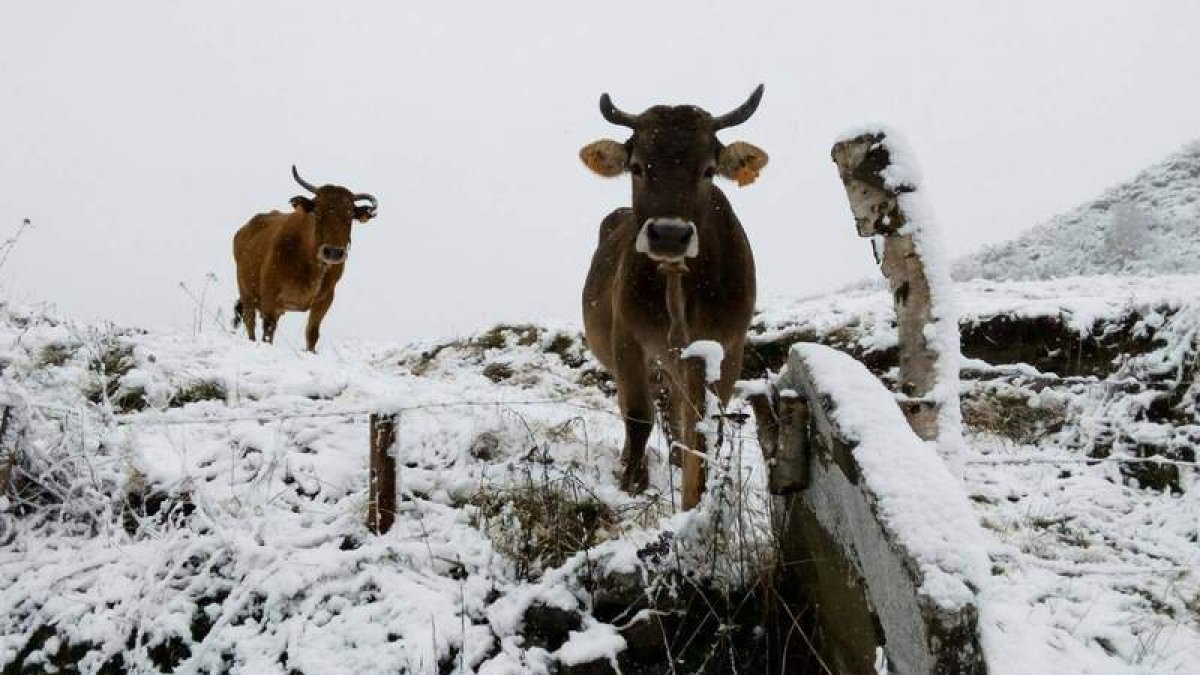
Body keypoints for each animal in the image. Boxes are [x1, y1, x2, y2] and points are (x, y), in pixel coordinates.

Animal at [232, 166, 378, 352]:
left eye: (350, 215)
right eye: (318, 212)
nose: (333, 252)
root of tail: (244, 230)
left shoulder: (324, 300)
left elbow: (312, 333)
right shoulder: (270, 298)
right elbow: (268, 331)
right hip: (246, 294)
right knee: (250, 324)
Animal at [579, 85, 768, 510]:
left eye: (708, 170)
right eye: (637, 167)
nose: (669, 234)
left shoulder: (727, 345)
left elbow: (704, 423)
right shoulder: (627, 338)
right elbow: (637, 417)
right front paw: (630, 485)